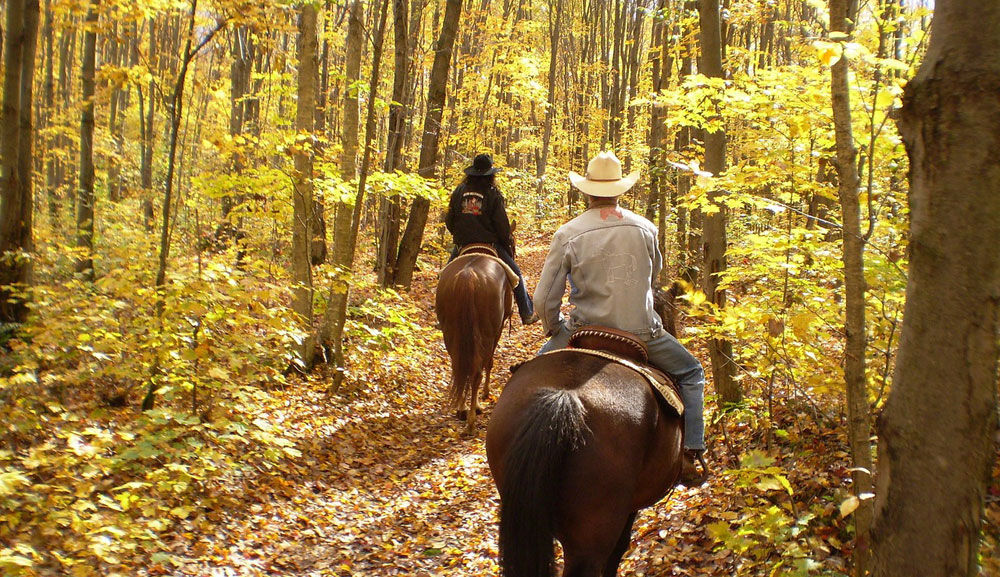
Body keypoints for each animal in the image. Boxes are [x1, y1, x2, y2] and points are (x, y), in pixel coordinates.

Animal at [438, 250, 516, 434]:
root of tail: (468, 275)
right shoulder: (498, 330)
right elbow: (489, 363)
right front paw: (486, 393)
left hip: (451, 334)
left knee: (459, 368)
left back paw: (462, 409)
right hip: (486, 334)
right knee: (476, 372)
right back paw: (472, 418)